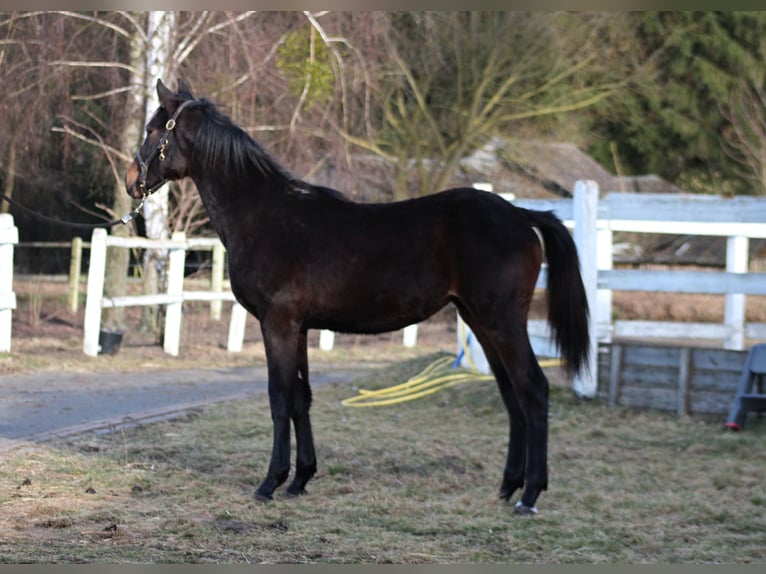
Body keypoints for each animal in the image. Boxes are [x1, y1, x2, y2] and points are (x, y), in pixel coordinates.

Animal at [125, 79, 590, 515]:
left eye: (153, 130)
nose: (132, 182)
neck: (264, 215)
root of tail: (522, 215)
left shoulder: (278, 323)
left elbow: (279, 397)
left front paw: (270, 482)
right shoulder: (298, 327)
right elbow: (301, 399)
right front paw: (300, 479)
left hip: (502, 321)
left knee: (533, 389)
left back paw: (529, 495)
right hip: (480, 320)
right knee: (511, 395)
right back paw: (508, 486)